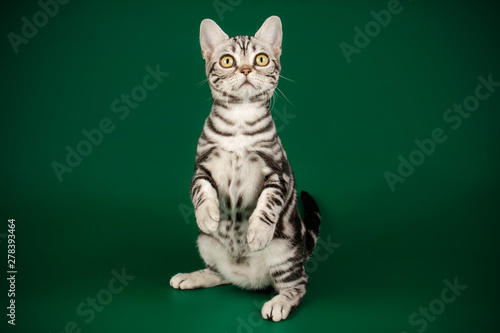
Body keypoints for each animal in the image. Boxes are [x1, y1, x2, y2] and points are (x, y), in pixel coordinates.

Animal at [170, 16, 322, 322]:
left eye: (261, 59)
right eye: (227, 61)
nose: (246, 69)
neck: (240, 119)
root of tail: (250, 279)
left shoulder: (277, 174)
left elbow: (267, 205)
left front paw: (257, 233)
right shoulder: (202, 168)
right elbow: (201, 191)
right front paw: (208, 215)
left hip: (285, 253)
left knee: (298, 285)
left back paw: (279, 303)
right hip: (206, 244)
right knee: (220, 274)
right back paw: (192, 276)